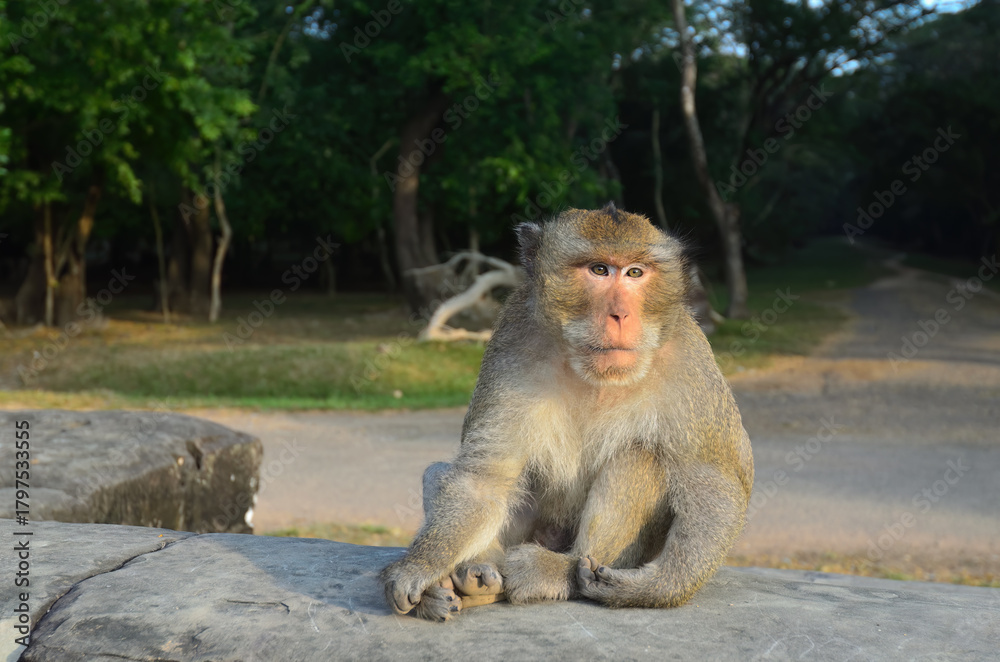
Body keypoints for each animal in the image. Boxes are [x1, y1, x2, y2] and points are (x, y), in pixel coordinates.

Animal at [380, 203, 753, 621]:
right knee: (446, 474)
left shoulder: (689, 361)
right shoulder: (512, 342)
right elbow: (484, 478)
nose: (620, 316)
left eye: (635, 273)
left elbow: (714, 485)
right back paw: (473, 573)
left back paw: (560, 571)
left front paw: (656, 587)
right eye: (599, 270)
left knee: (641, 459)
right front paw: (421, 567)